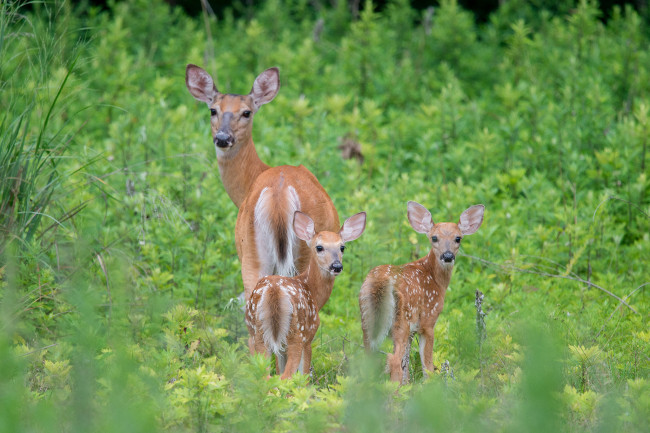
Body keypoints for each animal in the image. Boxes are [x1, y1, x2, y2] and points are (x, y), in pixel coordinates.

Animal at [186, 65, 340, 300]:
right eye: (213, 110)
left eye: (246, 112)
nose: (222, 138)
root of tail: (279, 196)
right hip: (303, 253)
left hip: (254, 256)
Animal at [244, 211, 364, 376]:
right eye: (319, 247)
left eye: (342, 247)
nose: (336, 266)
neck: (311, 290)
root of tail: (273, 291)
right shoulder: (309, 336)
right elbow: (303, 375)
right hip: (296, 334)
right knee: (285, 377)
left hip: (258, 334)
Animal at [356, 202, 484, 382]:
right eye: (434, 238)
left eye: (458, 238)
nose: (447, 256)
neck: (435, 279)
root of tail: (380, 281)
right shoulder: (428, 321)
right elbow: (427, 365)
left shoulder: (412, 330)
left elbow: (407, 364)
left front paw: (407, 386)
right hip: (400, 321)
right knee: (392, 359)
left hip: (368, 321)